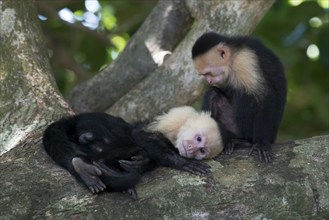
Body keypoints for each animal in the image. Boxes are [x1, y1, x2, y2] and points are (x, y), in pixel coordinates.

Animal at [191, 32, 286, 163]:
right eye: (204, 75)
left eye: (208, 73)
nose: (209, 81)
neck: (232, 55)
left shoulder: (244, 60)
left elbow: (264, 97)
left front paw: (261, 143)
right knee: (213, 94)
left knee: (244, 93)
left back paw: (245, 142)